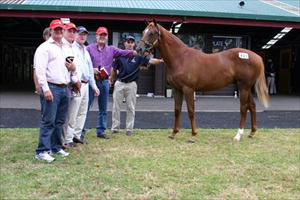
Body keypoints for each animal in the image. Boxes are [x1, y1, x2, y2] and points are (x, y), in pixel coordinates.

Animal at [137, 21, 268, 141]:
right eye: (143, 32)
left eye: (151, 33)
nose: (139, 49)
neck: (180, 58)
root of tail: (257, 57)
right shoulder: (177, 89)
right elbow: (177, 110)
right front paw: (174, 133)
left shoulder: (188, 89)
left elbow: (191, 111)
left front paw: (193, 135)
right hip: (246, 87)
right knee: (252, 106)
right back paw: (252, 132)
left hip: (243, 87)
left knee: (243, 108)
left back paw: (238, 135)